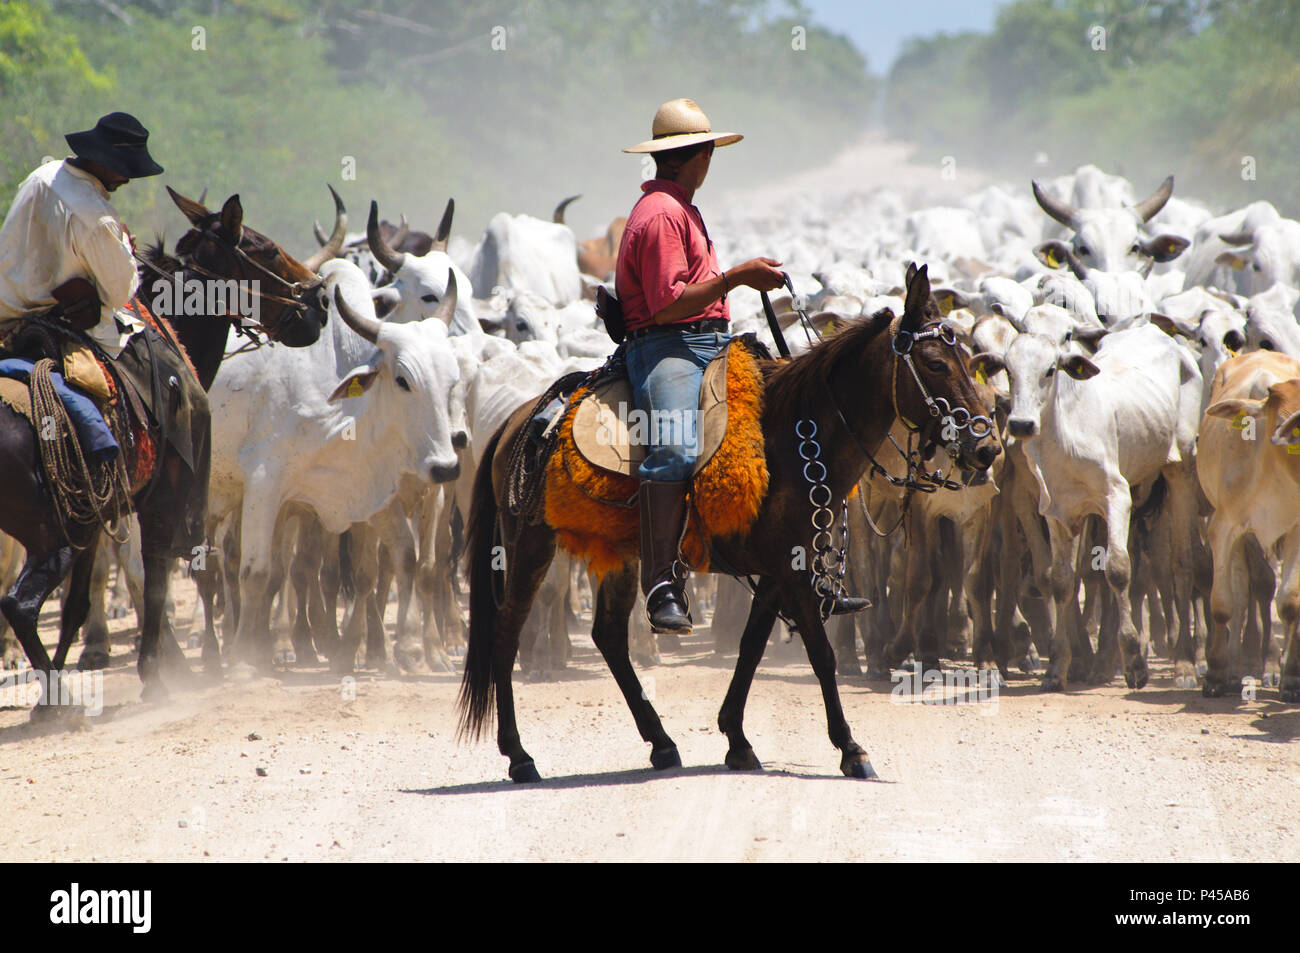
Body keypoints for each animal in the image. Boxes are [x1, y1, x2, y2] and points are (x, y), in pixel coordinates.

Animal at [0, 187, 340, 707]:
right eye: (264, 250)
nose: (320, 300)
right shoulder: (169, 494)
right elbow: (166, 574)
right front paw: (168, 671)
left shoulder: (103, 515)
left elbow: (82, 600)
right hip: (51, 533)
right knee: (20, 604)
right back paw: (65, 705)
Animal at [452, 262, 998, 780]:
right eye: (934, 363)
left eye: (969, 363)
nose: (988, 446)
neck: (794, 435)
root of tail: (520, 418)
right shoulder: (792, 571)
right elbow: (821, 654)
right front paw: (850, 748)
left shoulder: (778, 571)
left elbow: (752, 646)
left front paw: (736, 738)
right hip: (529, 545)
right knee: (506, 629)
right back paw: (519, 755)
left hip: (619, 553)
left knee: (608, 636)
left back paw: (661, 742)